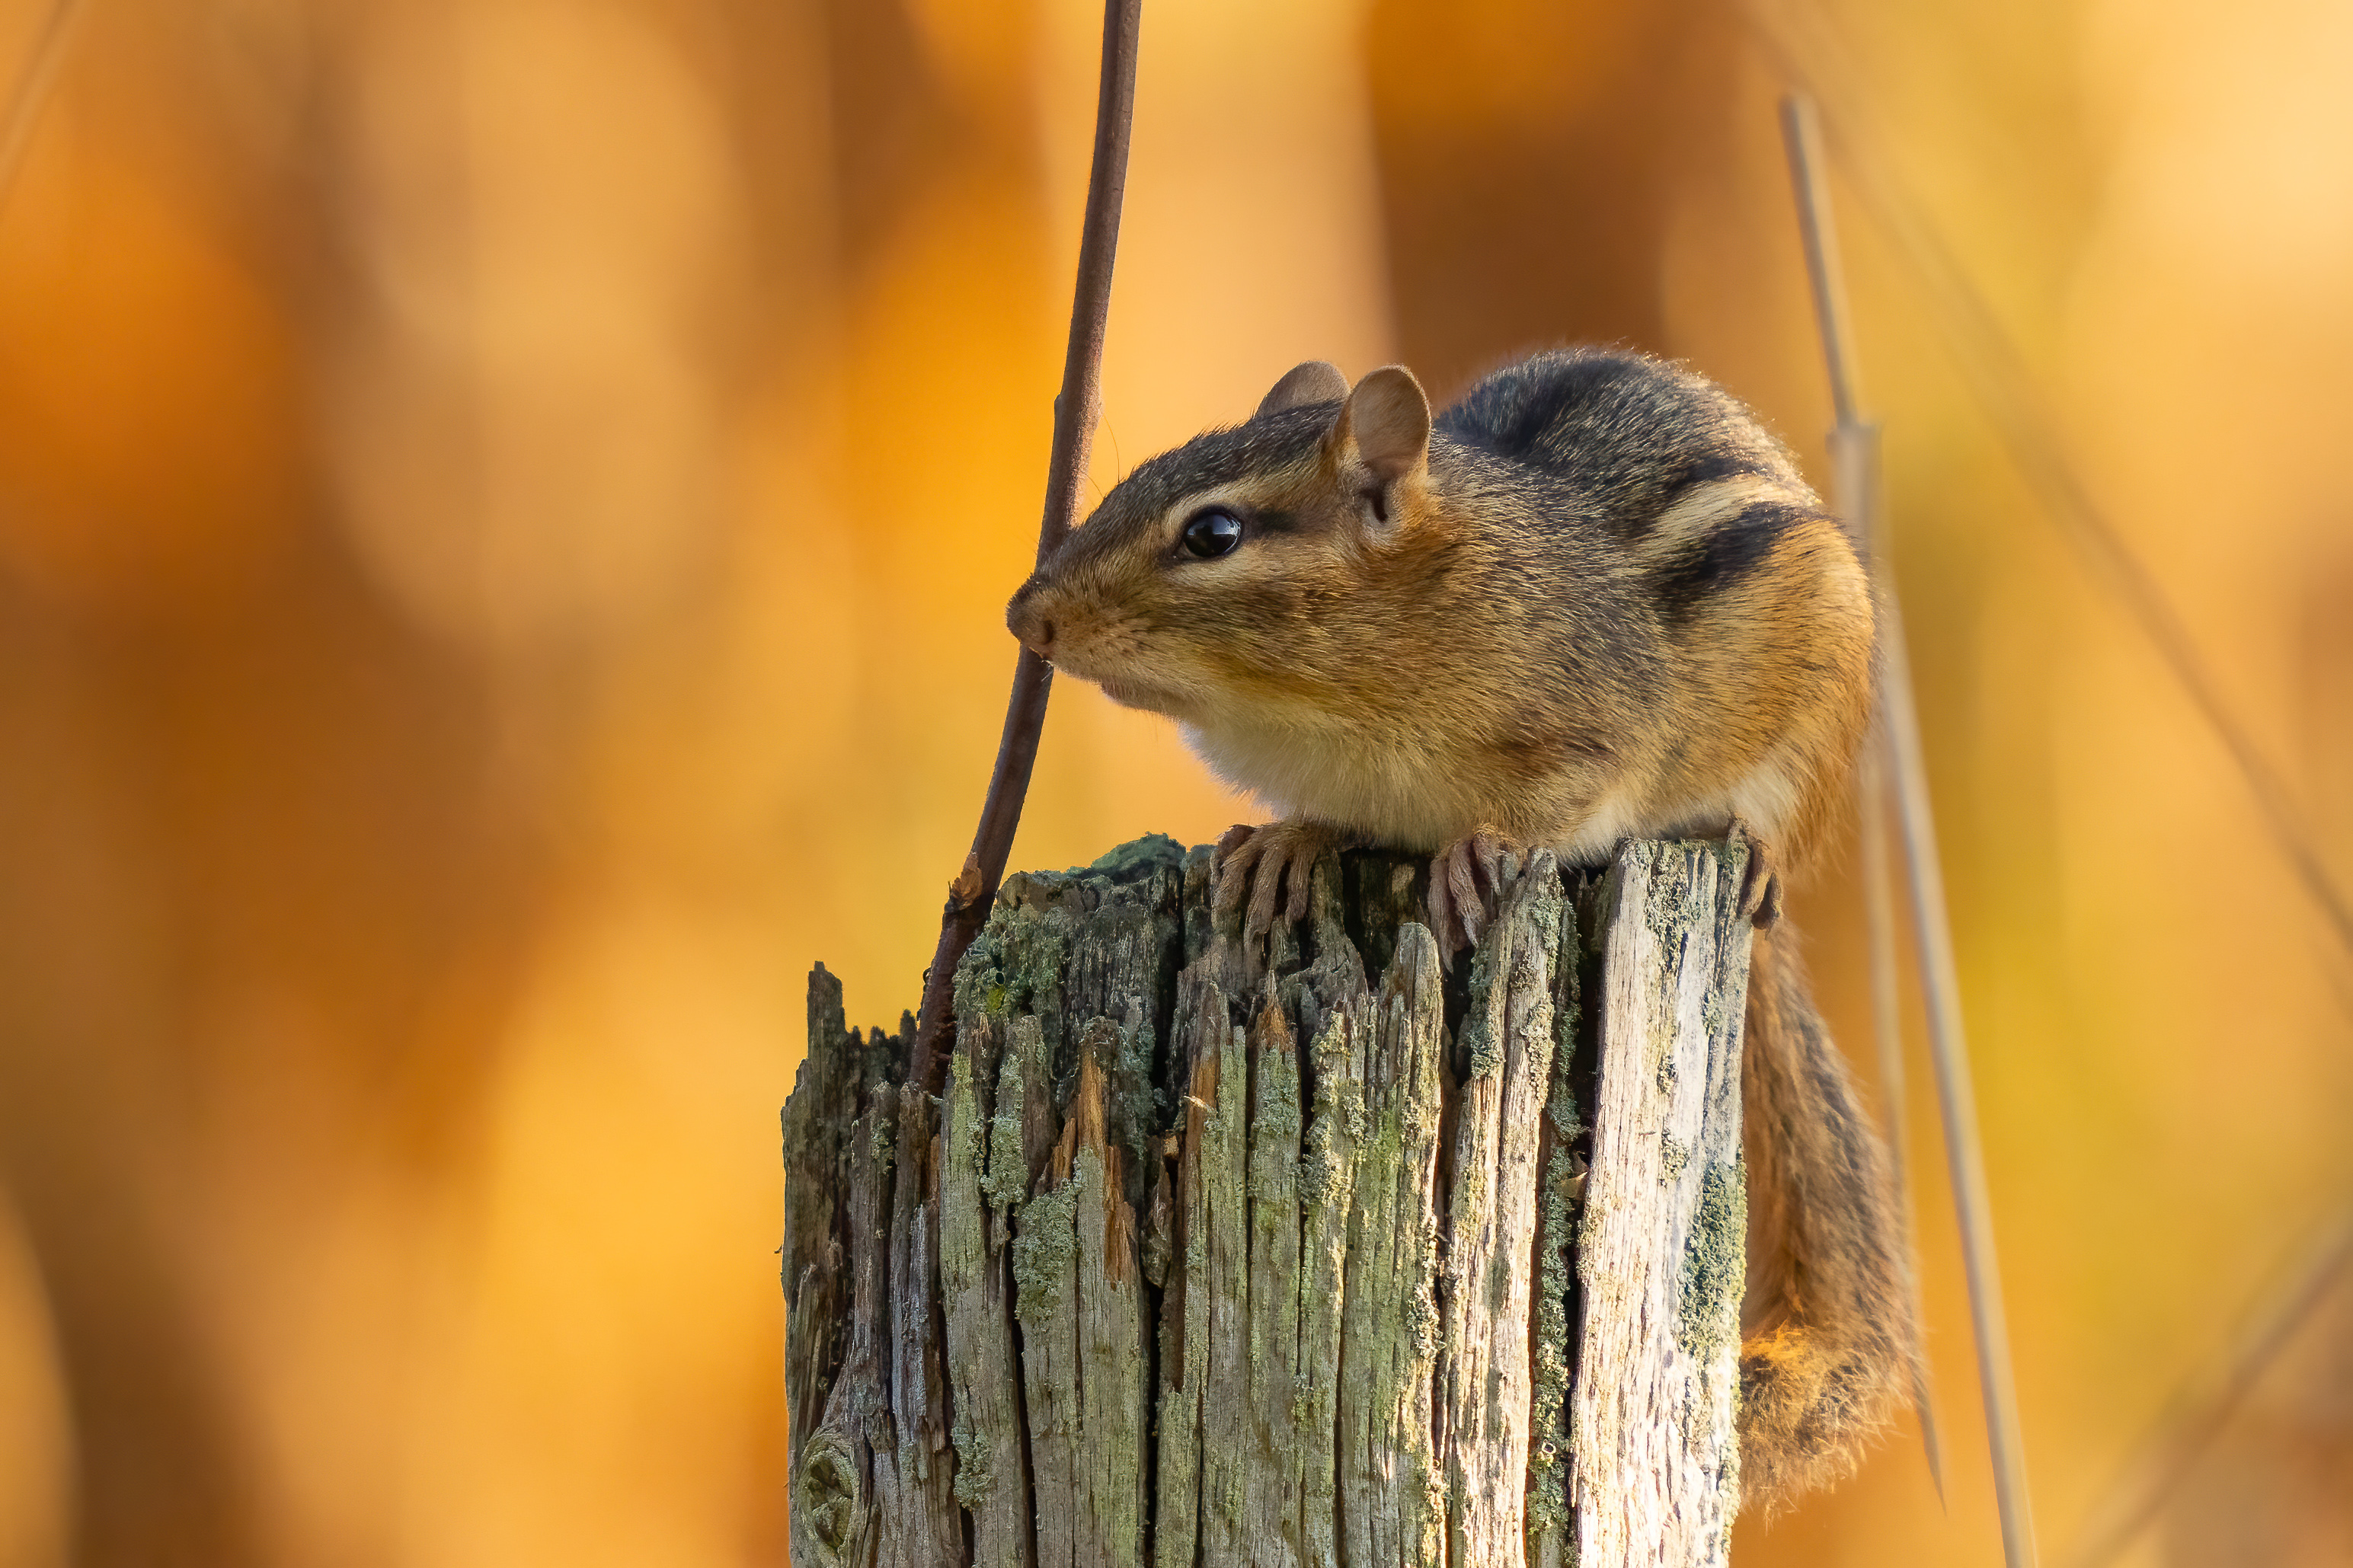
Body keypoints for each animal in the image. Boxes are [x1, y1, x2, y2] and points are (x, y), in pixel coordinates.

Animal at [1004, 347, 1919, 1511]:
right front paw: (1286, 845)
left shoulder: (1598, 729)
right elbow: (1320, 821)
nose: (1025, 615)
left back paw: (1749, 851)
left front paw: (1468, 855)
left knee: (1769, 841)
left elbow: (1552, 803)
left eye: (1212, 533)